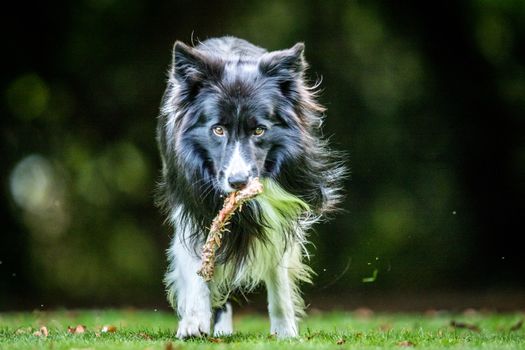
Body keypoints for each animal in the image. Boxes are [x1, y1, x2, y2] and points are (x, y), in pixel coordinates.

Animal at [156, 36, 344, 340]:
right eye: (218, 130)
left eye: (259, 130)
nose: (238, 182)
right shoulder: (189, 203)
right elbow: (196, 260)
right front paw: (193, 322)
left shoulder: (282, 209)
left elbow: (278, 271)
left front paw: (285, 330)